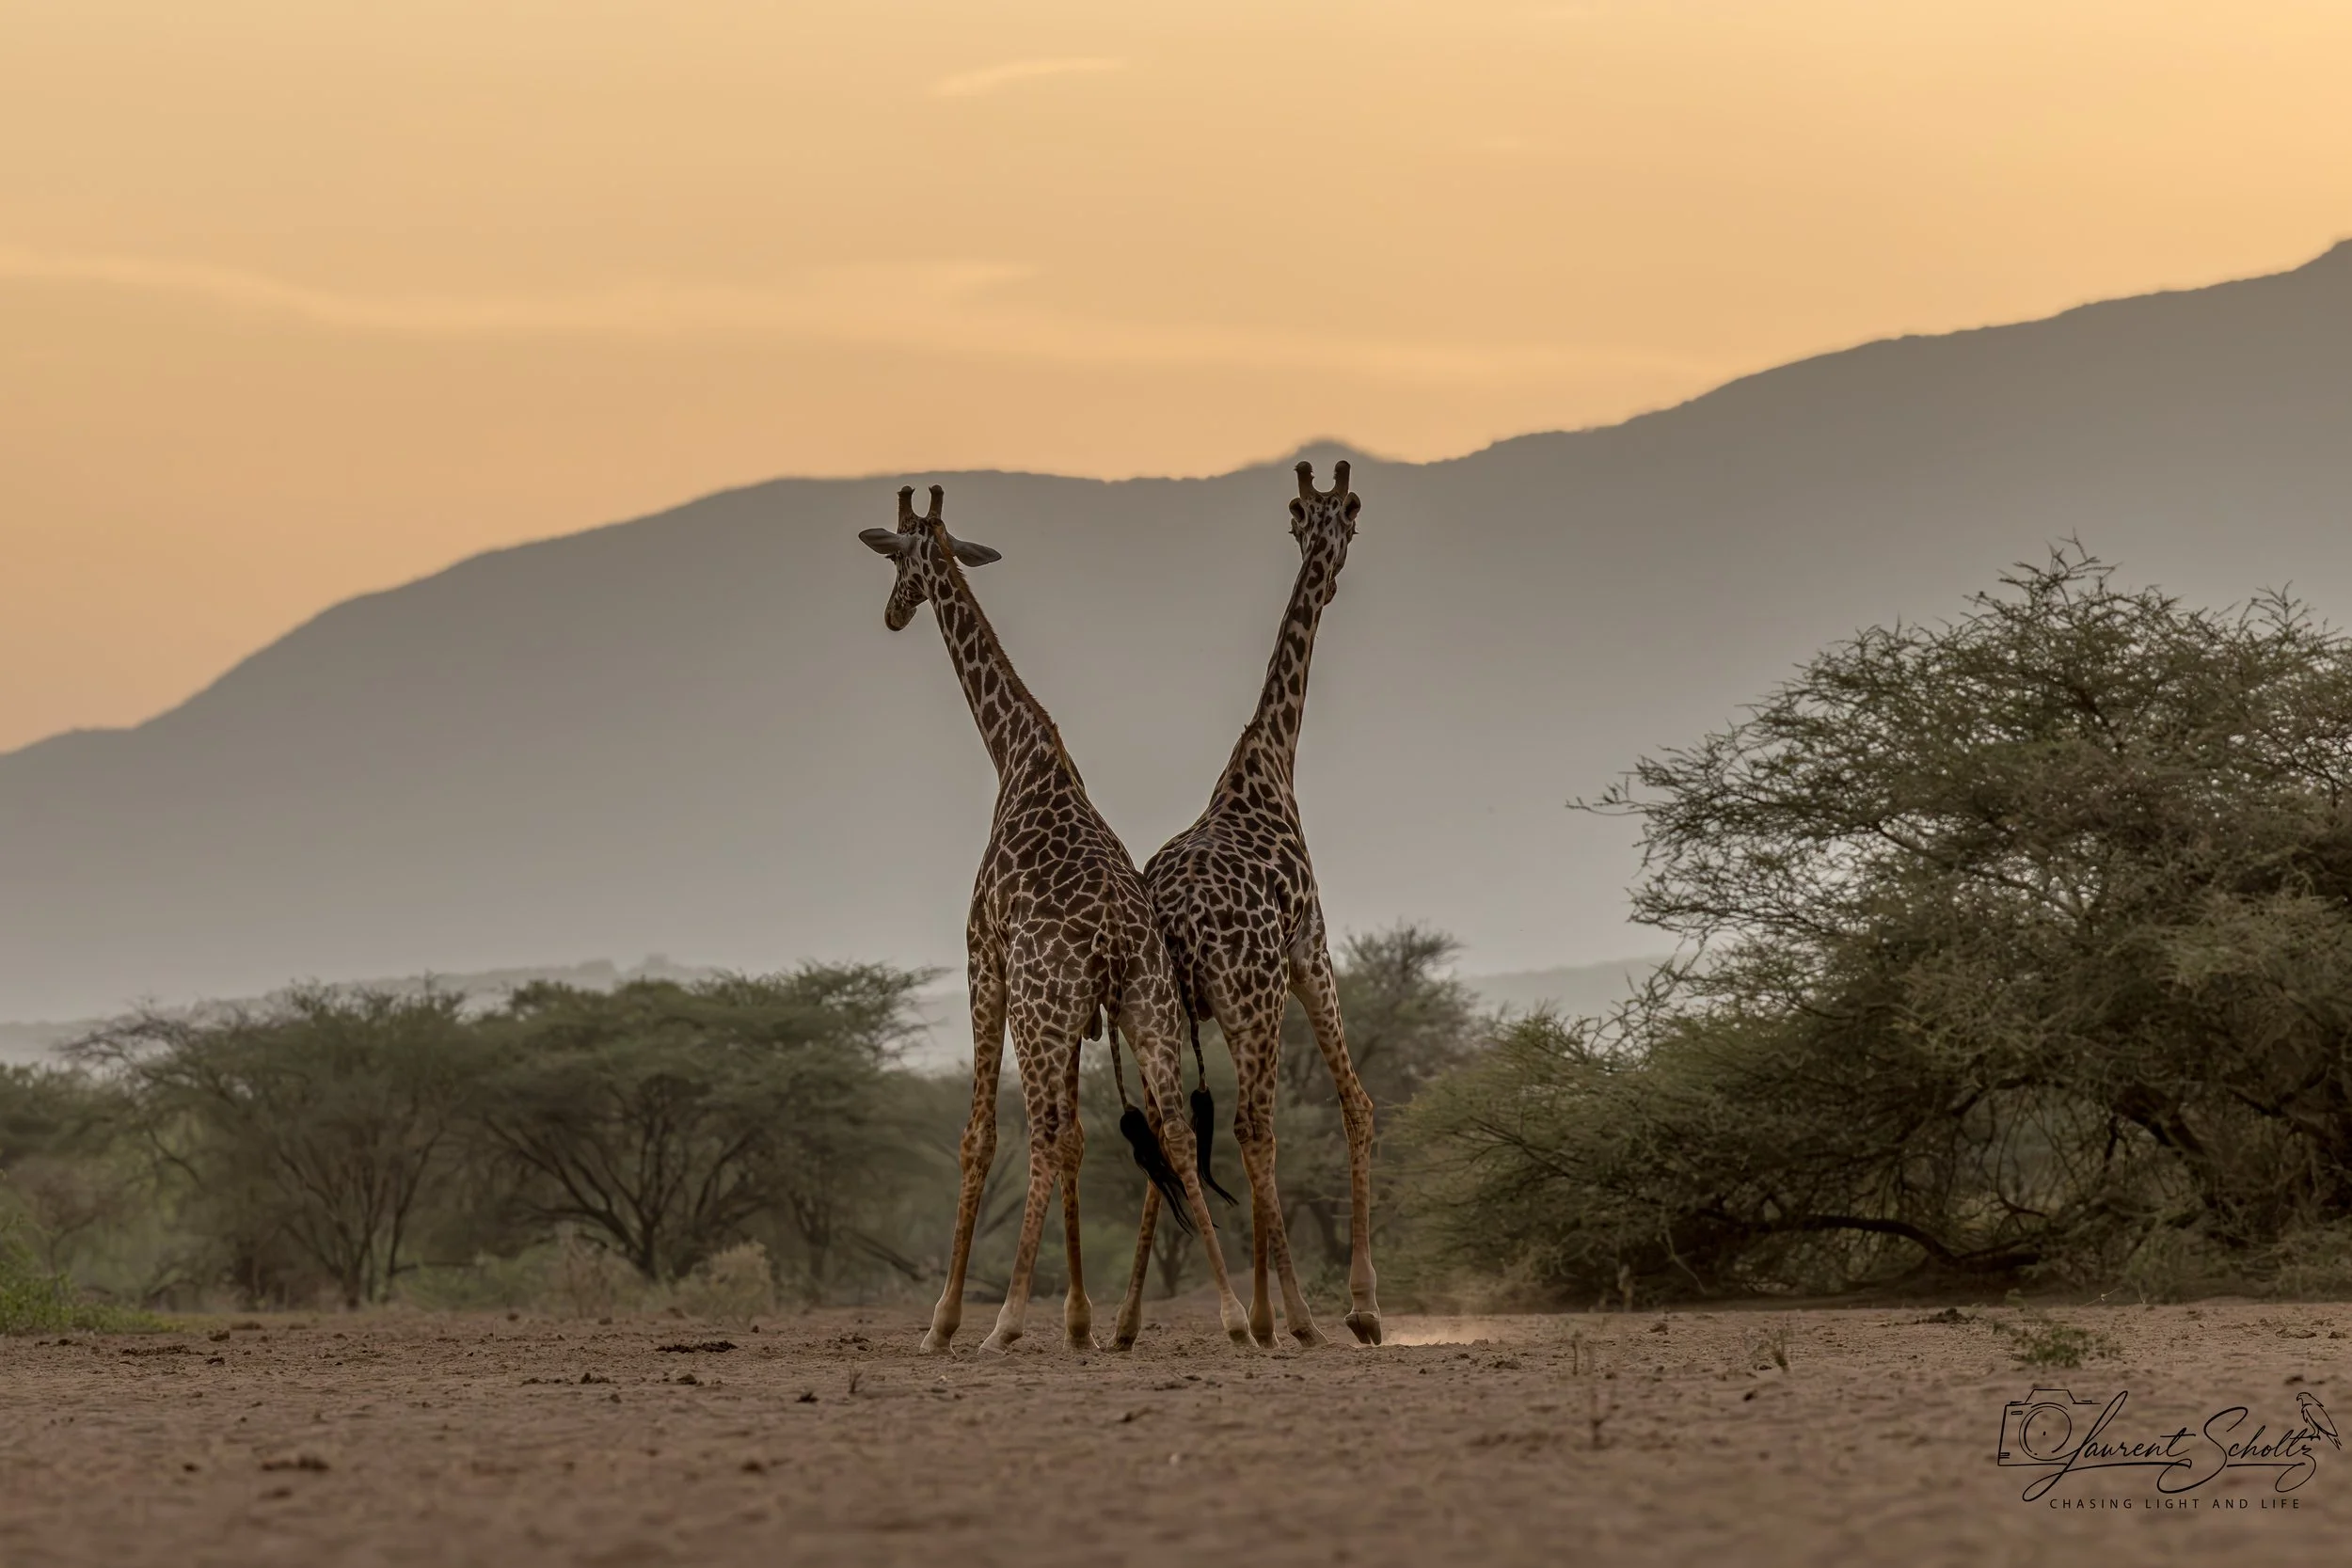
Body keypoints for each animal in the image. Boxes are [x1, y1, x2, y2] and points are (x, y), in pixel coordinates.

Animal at [859, 483, 1254, 1355]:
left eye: (899, 558)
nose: (893, 615)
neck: (1016, 752)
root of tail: (1110, 941)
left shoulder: (984, 957)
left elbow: (980, 1138)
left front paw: (943, 1323)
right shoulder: (1085, 1018)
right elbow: (1080, 1138)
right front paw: (1078, 1322)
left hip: (1039, 1010)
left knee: (1037, 1135)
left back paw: (1000, 1321)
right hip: (1146, 1007)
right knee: (1172, 1132)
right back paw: (1235, 1318)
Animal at [1116, 459, 1380, 1350]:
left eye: (1318, 514)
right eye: (1349, 514)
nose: (1328, 572)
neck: (1265, 766)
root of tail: (1176, 924)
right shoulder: (1310, 950)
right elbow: (1355, 1105)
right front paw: (1362, 1307)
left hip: (1161, 1010)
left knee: (1170, 1128)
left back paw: (1126, 1321)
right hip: (1251, 998)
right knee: (1254, 1129)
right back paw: (1298, 1317)